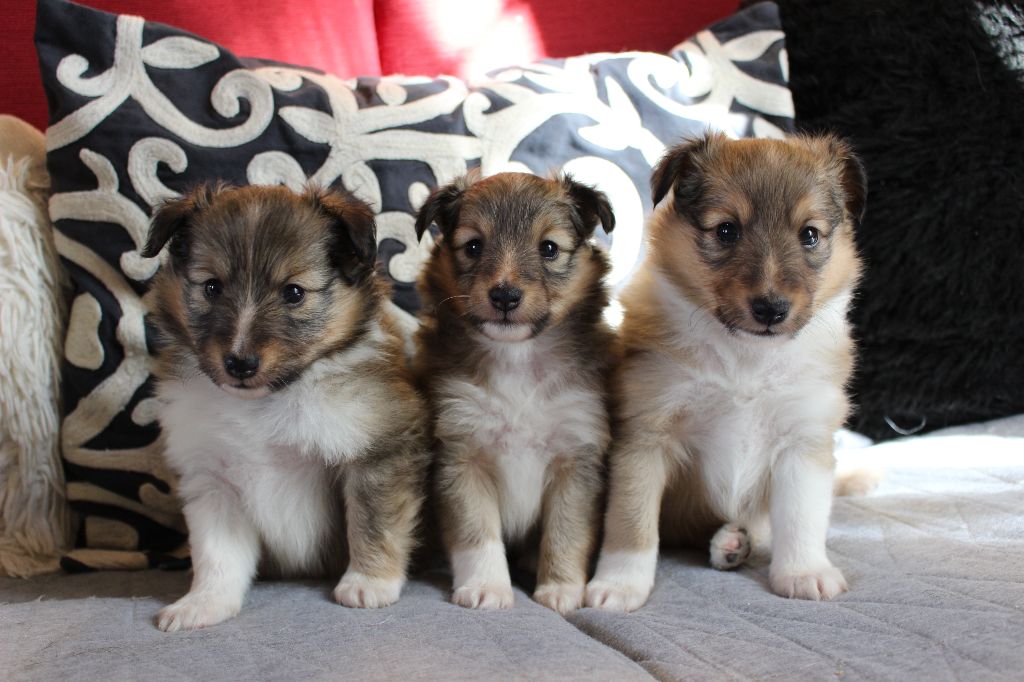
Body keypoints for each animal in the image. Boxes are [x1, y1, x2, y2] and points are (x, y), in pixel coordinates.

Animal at [143, 183, 428, 630]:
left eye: (294, 292)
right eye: (212, 287)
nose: (240, 363)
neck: (266, 402)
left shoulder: (379, 451)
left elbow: (372, 522)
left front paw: (368, 584)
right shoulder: (211, 479)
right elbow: (216, 554)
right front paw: (202, 603)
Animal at [413, 173, 614, 614]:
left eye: (549, 248)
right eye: (473, 246)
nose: (504, 296)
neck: (517, 358)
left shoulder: (576, 457)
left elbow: (566, 532)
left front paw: (561, 590)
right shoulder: (461, 453)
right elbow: (476, 531)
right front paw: (487, 587)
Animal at [585, 130, 864, 606]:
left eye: (809, 235)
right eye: (726, 230)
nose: (771, 309)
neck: (744, 359)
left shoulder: (803, 439)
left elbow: (801, 517)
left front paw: (805, 572)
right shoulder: (645, 435)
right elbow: (631, 523)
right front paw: (618, 586)